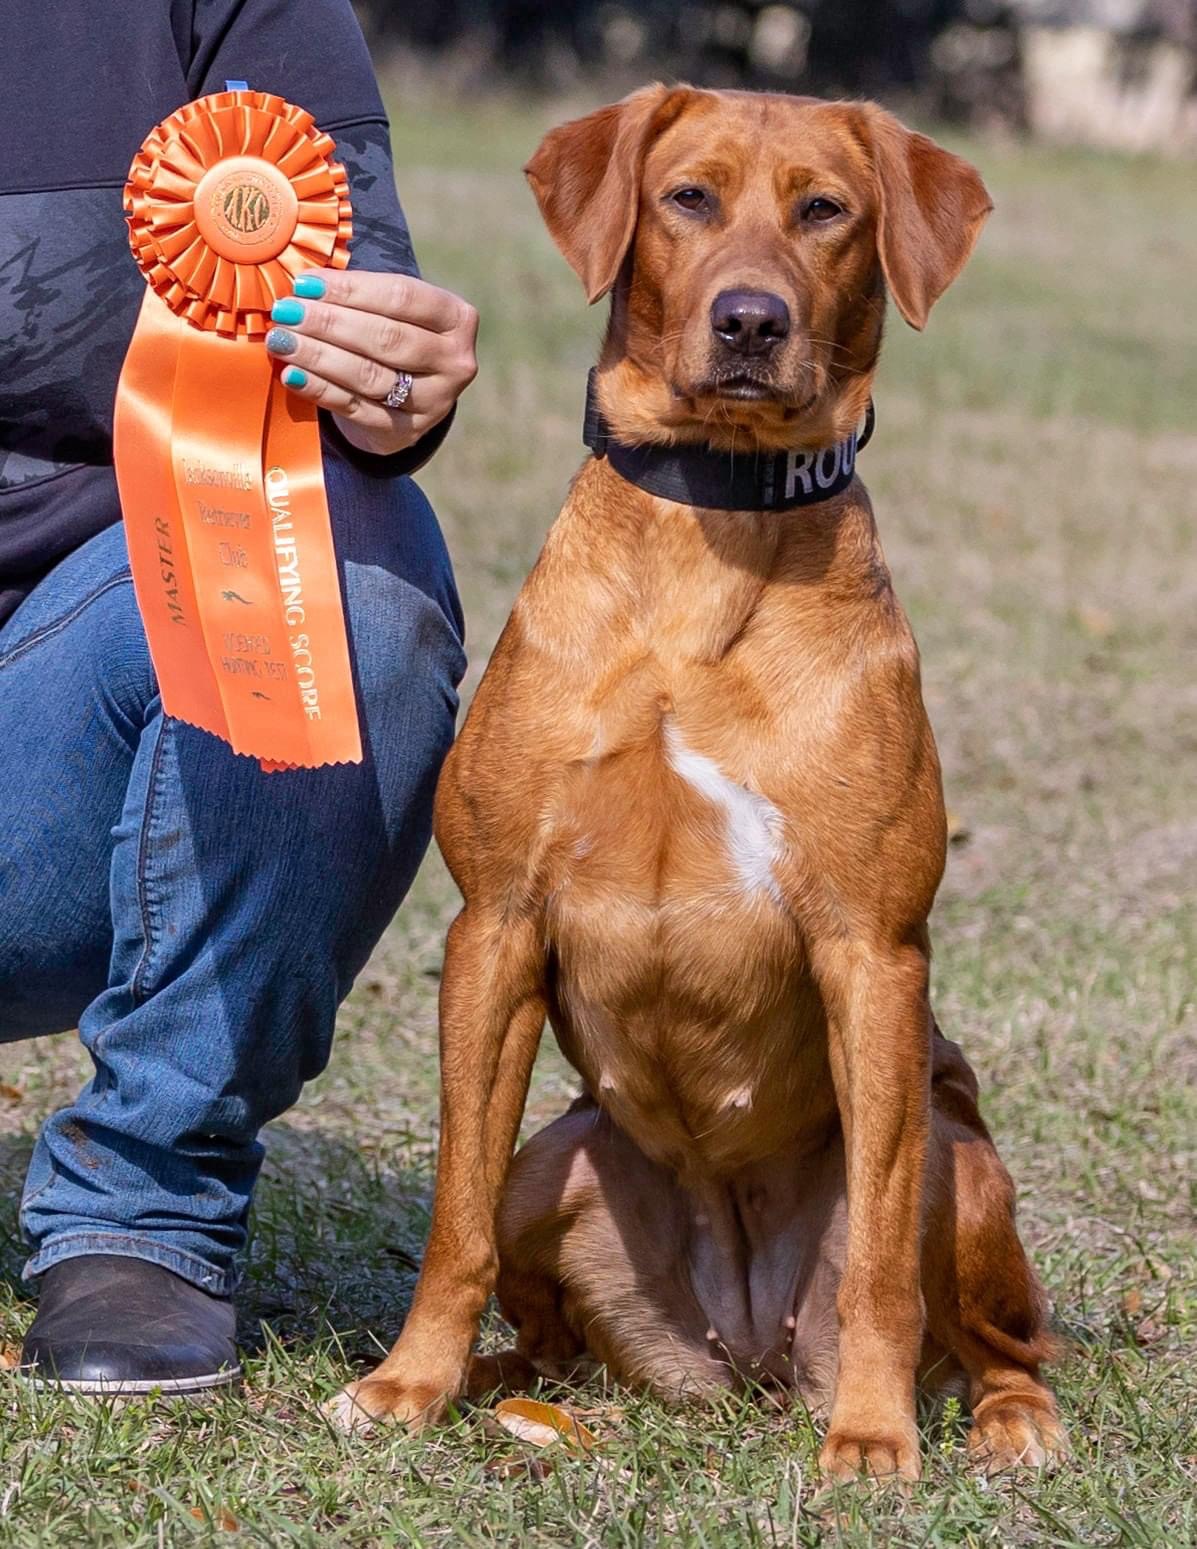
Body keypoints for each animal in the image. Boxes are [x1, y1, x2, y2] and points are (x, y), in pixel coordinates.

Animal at [334, 87, 1065, 1487]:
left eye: (825, 210)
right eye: (688, 198)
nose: (750, 321)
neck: (706, 538)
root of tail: (746, 1352)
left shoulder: (873, 955)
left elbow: (880, 1261)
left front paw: (875, 1436)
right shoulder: (496, 923)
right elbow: (451, 1218)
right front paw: (407, 1384)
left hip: (962, 1157)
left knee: (998, 1332)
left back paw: (1006, 1418)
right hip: (556, 1155)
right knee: (543, 1310)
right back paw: (505, 1384)